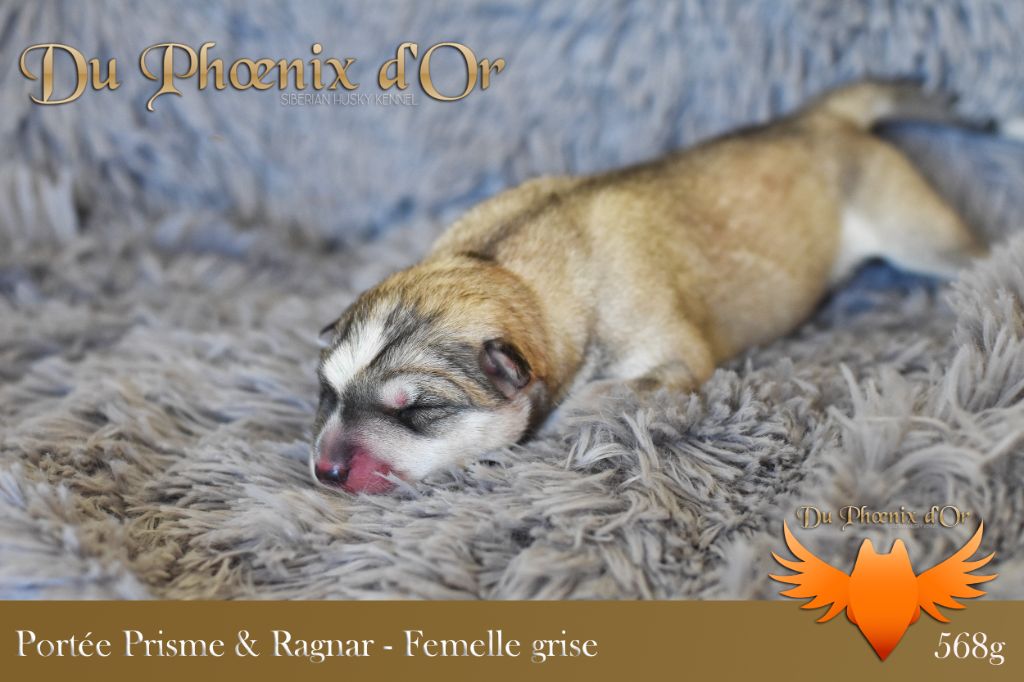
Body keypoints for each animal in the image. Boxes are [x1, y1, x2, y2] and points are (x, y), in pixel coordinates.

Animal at [312, 82, 988, 494]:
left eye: (419, 410)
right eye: (327, 393)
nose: (324, 470)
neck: (506, 265)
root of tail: (821, 116)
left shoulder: (674, 357)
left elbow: (601, 393)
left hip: (913, 228)